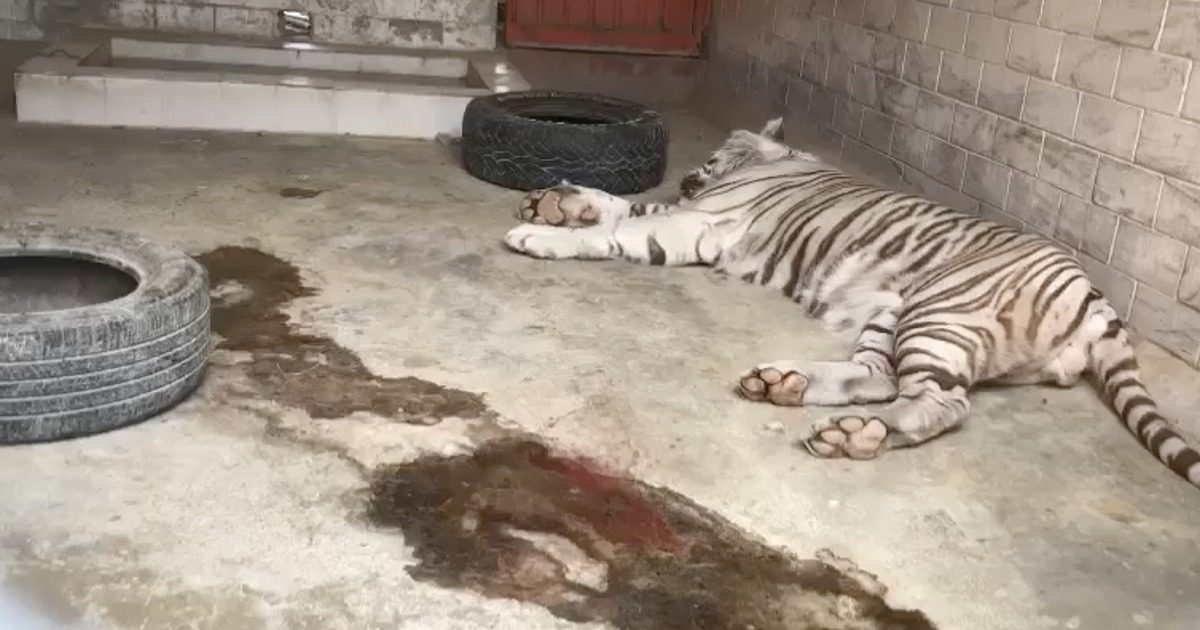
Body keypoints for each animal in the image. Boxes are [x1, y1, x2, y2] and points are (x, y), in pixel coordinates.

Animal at [500, 117, 1200, 489]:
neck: (778, 158)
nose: (692, 175)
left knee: (940, 404)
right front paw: (555, 201)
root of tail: (1096, 298)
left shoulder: (700, 224)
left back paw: (854, 435)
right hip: (894, 313)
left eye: (714, 154)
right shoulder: (687, 214)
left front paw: (542, 233)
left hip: (938, 313)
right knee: (877, 377)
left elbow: (620, 229)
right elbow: (622, 205)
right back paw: (782, 384)